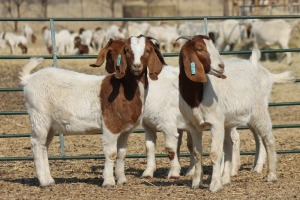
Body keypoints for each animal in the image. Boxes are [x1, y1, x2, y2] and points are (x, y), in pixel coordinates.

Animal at [19, 35, 165, 188]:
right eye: (127, 50)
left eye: (148, 50)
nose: (137, 66)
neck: (124, 89)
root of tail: (29, 79)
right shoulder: (110, 125)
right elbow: (111, 153)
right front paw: (109, 181)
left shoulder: (125, 130)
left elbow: (122, 153)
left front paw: (122, 180)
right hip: (39, 116)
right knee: (36, 143)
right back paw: (44, 181)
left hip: (50, 125)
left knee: (44, 146)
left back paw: (49, 180)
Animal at [177, 34, 278, 192]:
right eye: (200, 48)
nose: (221, 66)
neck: (197, 95)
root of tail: (253, 64)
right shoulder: (193, 126)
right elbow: (197, 153)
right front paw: (196, 183)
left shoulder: (216, 123)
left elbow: (215, 153)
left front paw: (214, 185)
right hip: (229, 121)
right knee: (231, 143)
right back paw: (226, 179)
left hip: (259, 110)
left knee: (268, 139)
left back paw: (271, 175)